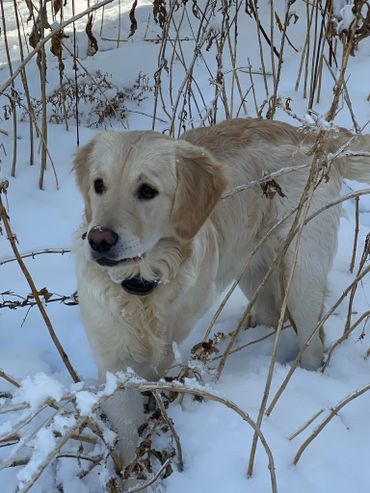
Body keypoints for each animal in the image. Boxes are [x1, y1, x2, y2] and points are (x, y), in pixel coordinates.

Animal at [73, 117, 370, 464]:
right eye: (99, 184)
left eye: (147, 190)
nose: (99, 239)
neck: (143, 286)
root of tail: (309, 136)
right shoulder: (113, 361)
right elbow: (129, 432)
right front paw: (130, 465)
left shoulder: (162, 353)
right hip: (254, 270)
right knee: (270, 314)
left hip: (302, 273)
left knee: (312, 340)